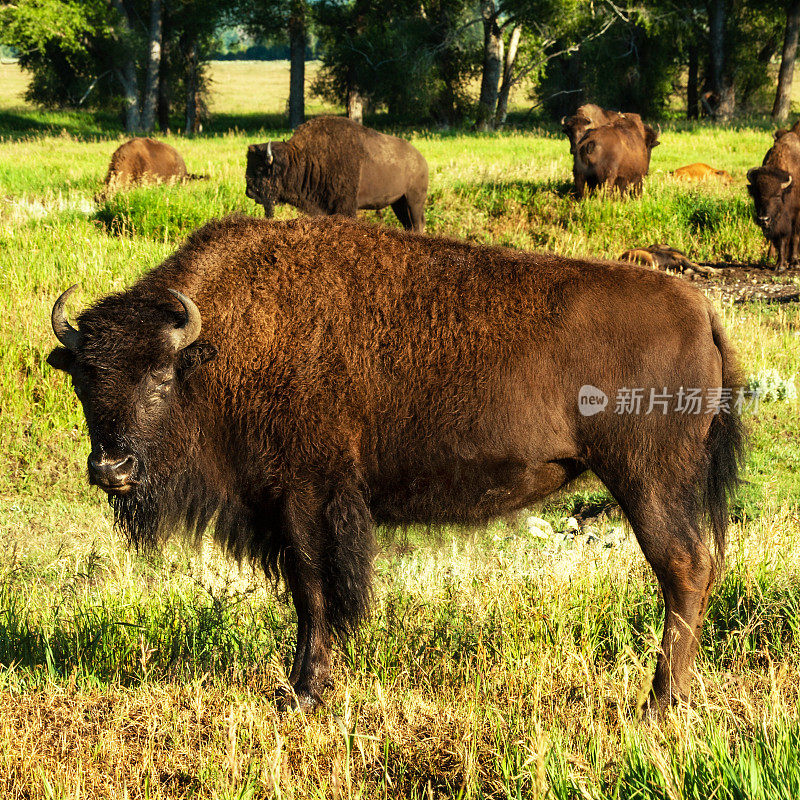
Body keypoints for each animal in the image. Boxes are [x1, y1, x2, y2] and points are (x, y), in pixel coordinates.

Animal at [48, 212, 744, 712]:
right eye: (83, 381)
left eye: (160, 377)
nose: (112, 470)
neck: (217, 347)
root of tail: (699, 307)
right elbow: (311, 593)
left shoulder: (308, 497)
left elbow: (316, 592)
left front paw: (304, 693)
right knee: (693, 569)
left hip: (649, 478)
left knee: (683, 567)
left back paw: (660, 703)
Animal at [247, 115, 428, 234]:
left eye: (260, 168)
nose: (249, 192)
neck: (302, 158)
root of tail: (421, 160)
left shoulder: (346, 207)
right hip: (398, 203)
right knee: (409, 224)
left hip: (414, 201)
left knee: (417, 224)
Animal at [748, 130, 800, 270]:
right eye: (756, 195)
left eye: (777, 195)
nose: (763, 219)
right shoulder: (779, 222)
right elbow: (781, 239)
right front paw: (780, 265)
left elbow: (795, 236)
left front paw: (794, 263)